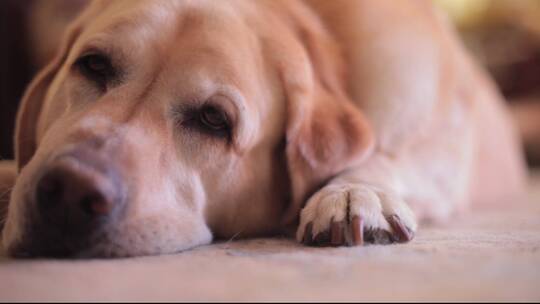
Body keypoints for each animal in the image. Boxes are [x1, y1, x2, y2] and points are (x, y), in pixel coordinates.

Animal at [0, 0, 524, 258]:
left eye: (214, 120)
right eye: (92, 65)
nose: (69, 191)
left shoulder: (436, 150)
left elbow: (385, 155)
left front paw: (354, 191)